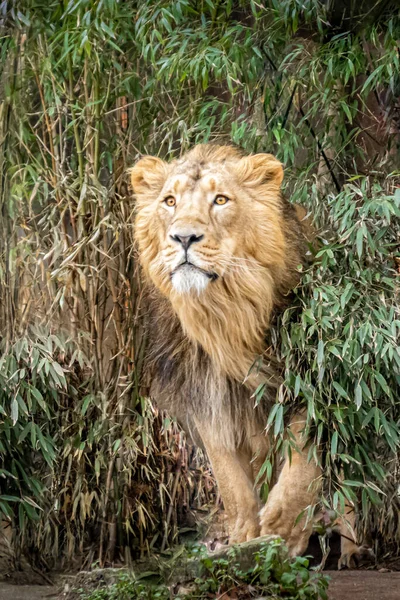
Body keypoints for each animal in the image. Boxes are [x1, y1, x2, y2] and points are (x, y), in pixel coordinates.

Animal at [130, 144, 366, 568]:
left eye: (220, 200)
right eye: (169, 201)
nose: (183, 237)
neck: (227, 317)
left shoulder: (315, 380)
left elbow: (304, 461)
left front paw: (281, 531)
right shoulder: (204, 392)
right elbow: (229, 475)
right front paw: (245, 538)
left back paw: (350, 550)